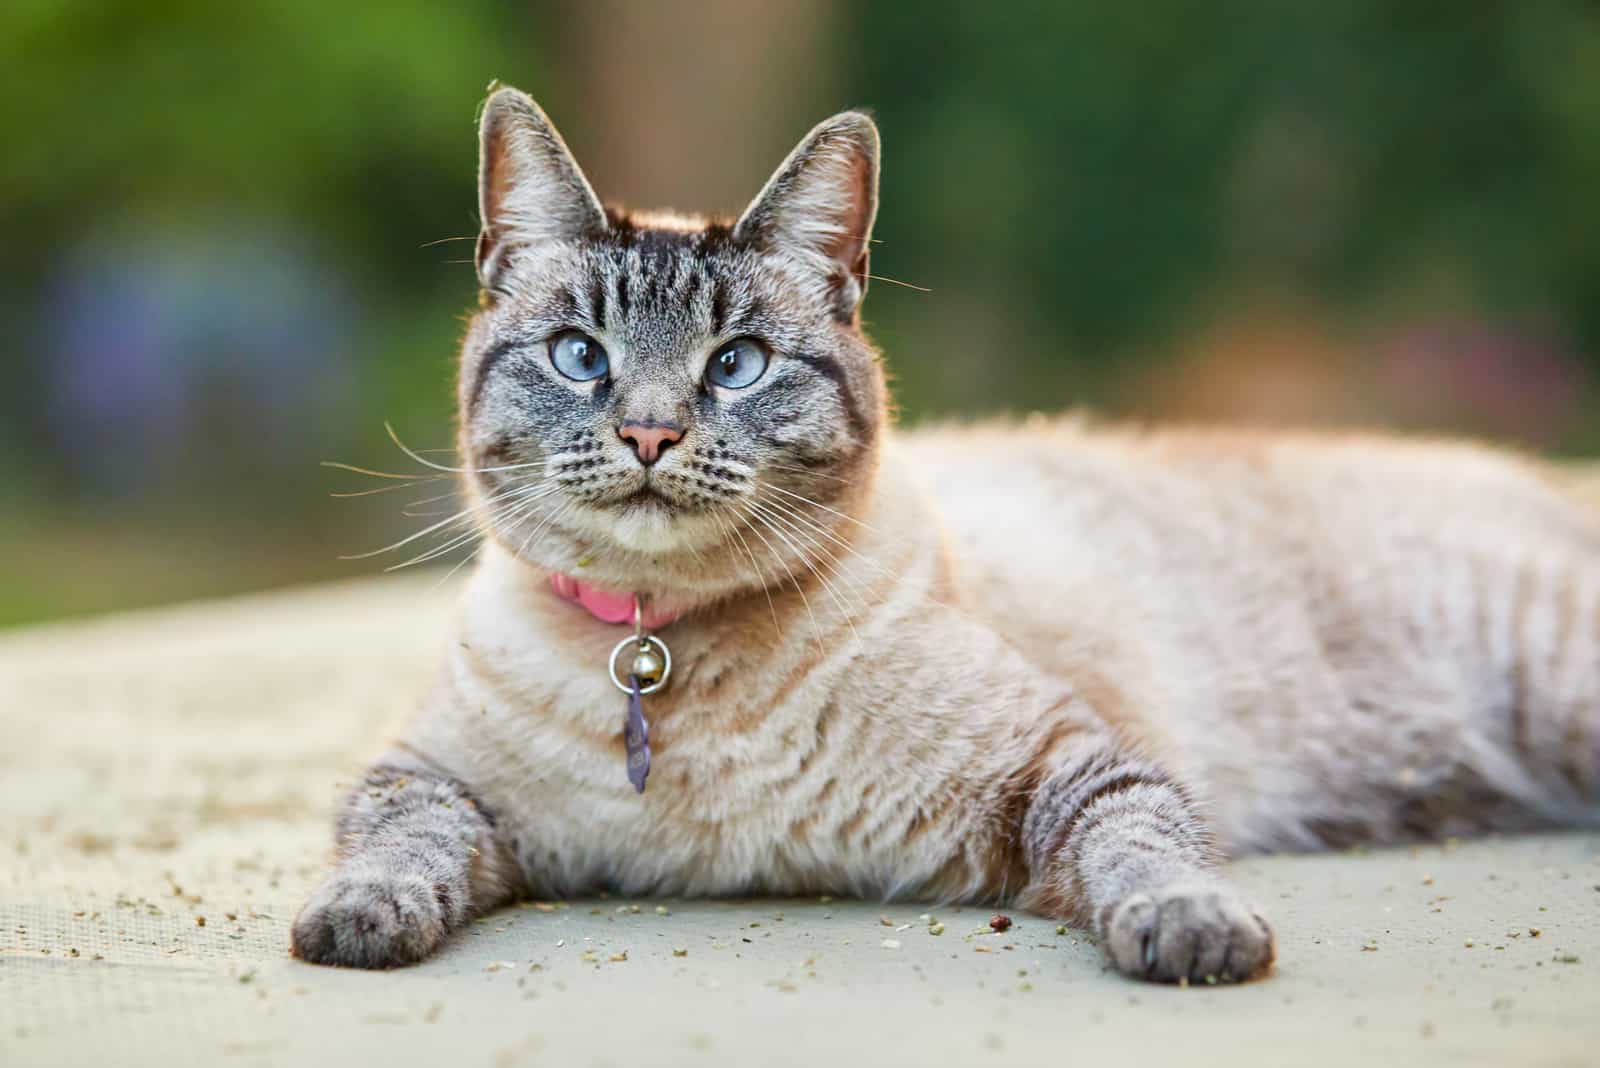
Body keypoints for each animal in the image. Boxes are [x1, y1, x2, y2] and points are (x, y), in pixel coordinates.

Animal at [291, 89, 1600, 984]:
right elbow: (395, 845)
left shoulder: (1067, 764)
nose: (652, 433)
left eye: (736, 365)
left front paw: (1192, 933)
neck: (657, 655)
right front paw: (355, 922)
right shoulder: (435, 783)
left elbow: (1145, 848)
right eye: (579, 356)